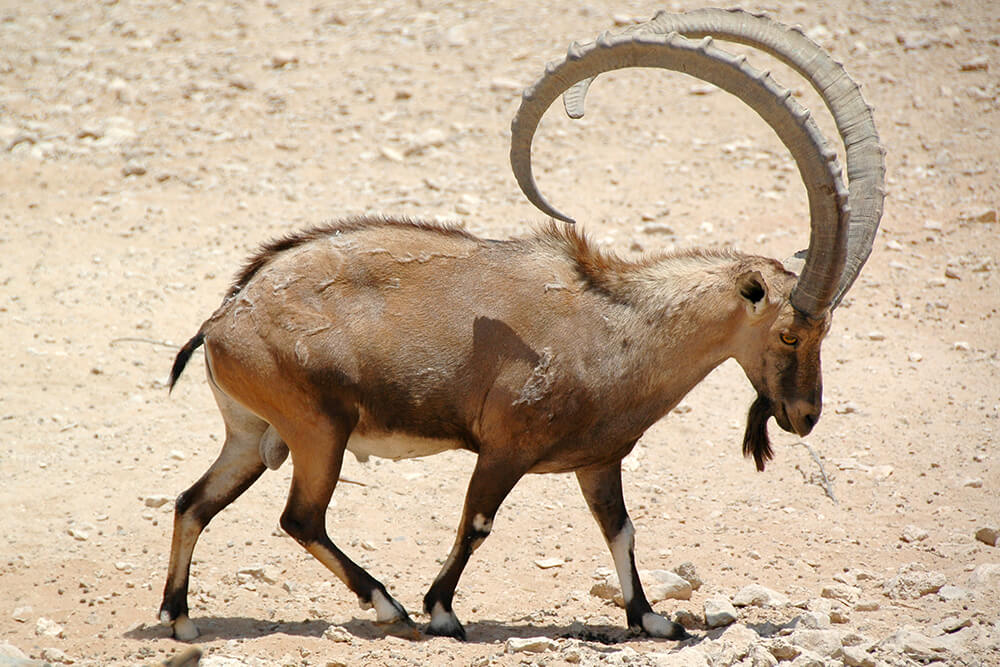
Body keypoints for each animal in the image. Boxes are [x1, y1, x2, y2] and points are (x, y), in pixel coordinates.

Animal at [159, 9, 884, 642]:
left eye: (826, 332)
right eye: (789, 333)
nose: (804, 415)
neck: (621, 323)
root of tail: (224, 318)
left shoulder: (600, 460)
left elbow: (620, 529)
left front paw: (651, 618)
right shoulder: (504, 446)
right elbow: (477, 521)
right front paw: (443, 611)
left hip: (253, 435)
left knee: (193, 501)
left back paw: (179, 616)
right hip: (319, 430)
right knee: (300, 517)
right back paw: (390, 606)